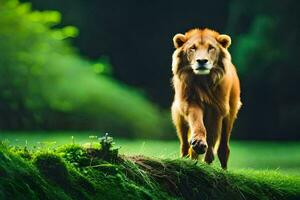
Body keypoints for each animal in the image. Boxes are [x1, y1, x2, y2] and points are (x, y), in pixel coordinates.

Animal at [171, 28, 241, 169]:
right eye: (192, 48)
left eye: (211, 48)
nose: (202, 61)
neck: (202, 81)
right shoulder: (190, 103)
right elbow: (198, 123)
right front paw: (198, 143)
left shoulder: (217, 108)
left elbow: (212, 136)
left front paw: (207, 158)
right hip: (179, 117)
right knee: (184, 144)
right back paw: (186, 159)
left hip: (230, 115)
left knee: (224, 148)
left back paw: (222, 168)